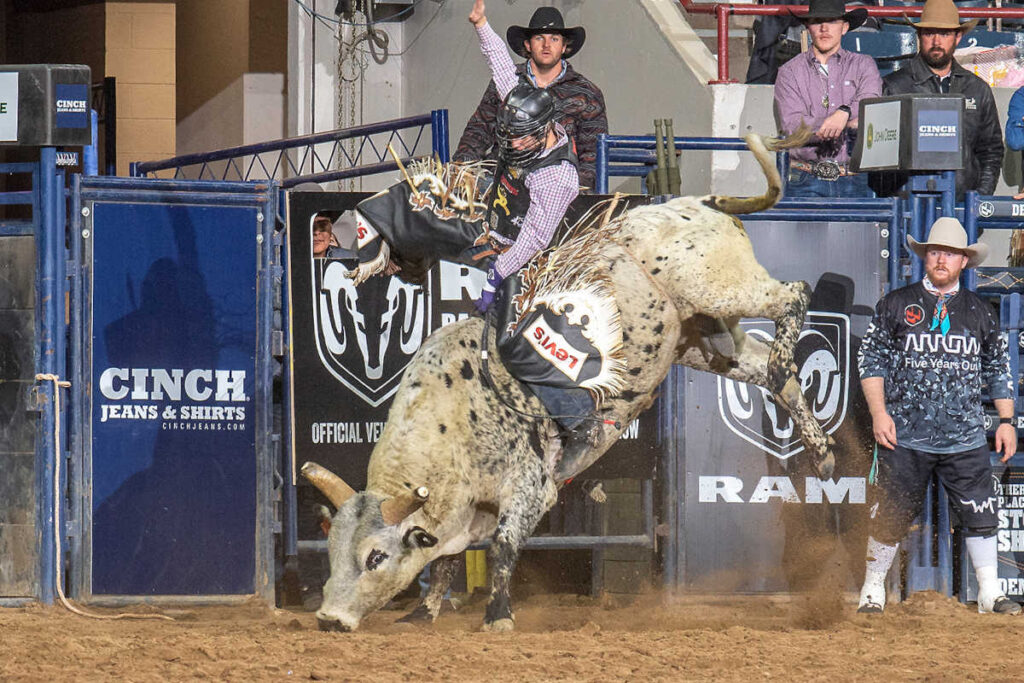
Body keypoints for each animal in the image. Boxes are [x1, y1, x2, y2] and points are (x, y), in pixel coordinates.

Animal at [299, 131, 835, 634]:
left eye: (375, 556)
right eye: (330, 552)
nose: (329, 619)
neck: (455, 420)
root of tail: (702, 202)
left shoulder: (531, 487)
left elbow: (502, 548)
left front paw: (497, 615)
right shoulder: (467, 512)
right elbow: (449, 557)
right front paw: (422, 612)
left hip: (722, 287)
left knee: (792, 297)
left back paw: (791, 369)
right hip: (705, 340)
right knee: (769, 371)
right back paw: (821, 449)